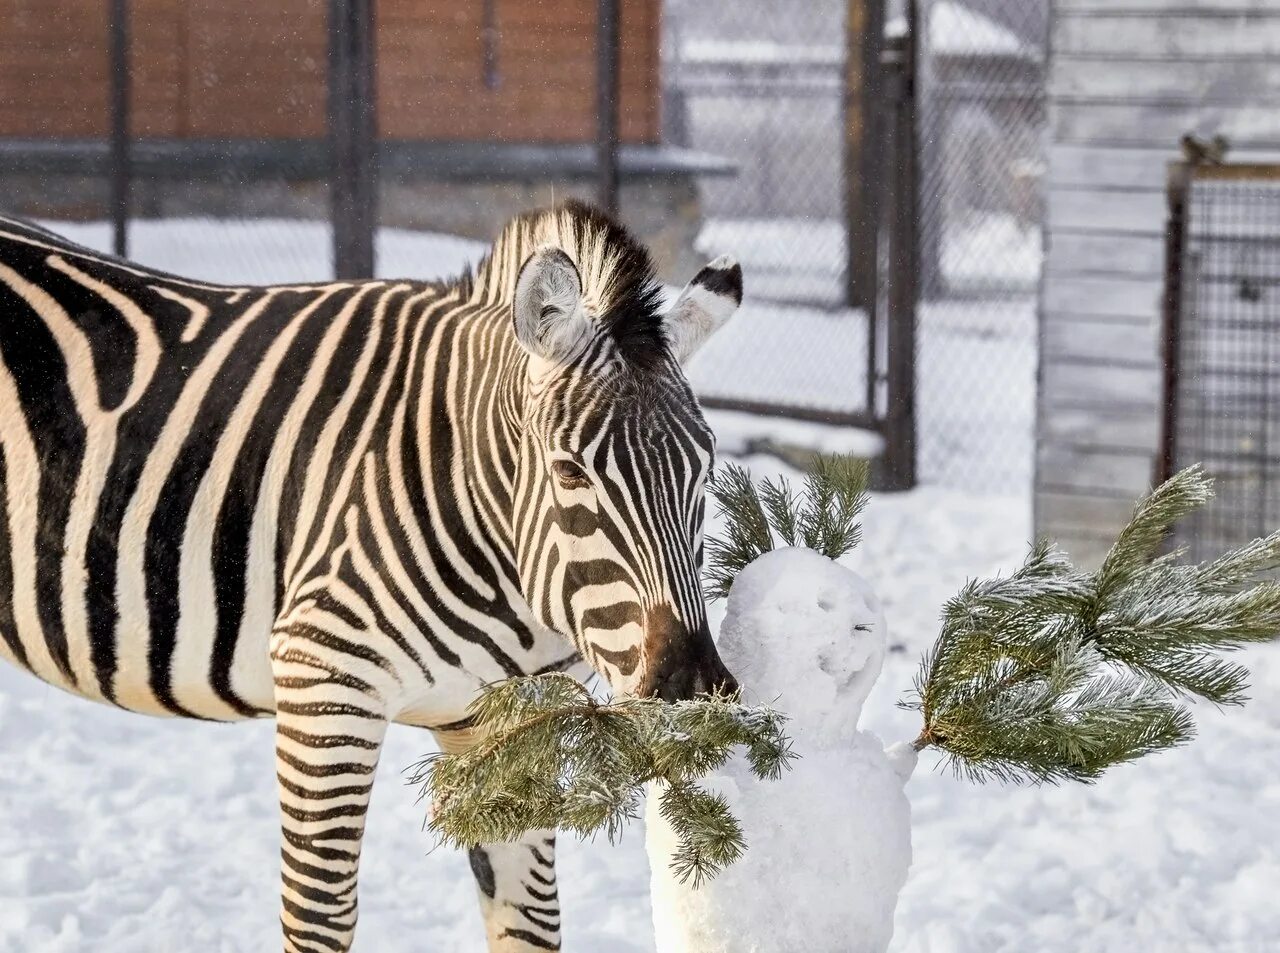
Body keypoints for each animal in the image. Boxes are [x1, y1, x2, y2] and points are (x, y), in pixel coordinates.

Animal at [0, 200, 742, 951]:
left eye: (705, 470)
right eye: (569, 472)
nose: (689, 691)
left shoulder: (507, 722)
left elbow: (528, 922)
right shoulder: (323, 682)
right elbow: (320, 918)